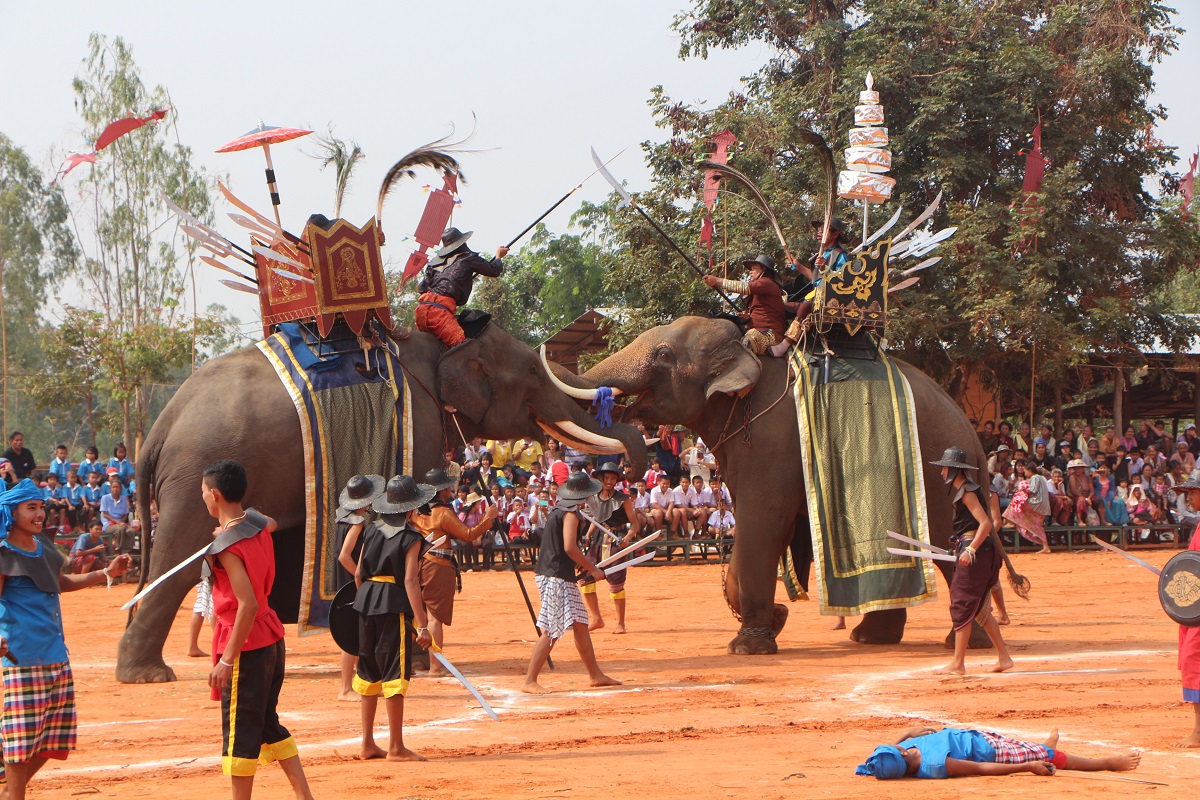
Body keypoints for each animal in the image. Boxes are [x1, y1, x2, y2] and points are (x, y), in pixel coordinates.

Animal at [118, 321, 648, 686]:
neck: (434, 347)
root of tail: (159, 429)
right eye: (534, 374)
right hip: (195, 477)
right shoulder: (421, 423)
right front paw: (418, 659)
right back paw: (147, 675)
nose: (627, 478)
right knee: (178, 564)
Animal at [549, 316, 988, 652]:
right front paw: (775, 619)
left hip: (938, 474)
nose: (626, 475)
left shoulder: (770, 441)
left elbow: (762, 523)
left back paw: (964, 642)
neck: (747, 353)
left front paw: (748, 645)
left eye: (663, 355)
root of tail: (971, 432)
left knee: (950, 542)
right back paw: (873, 639)